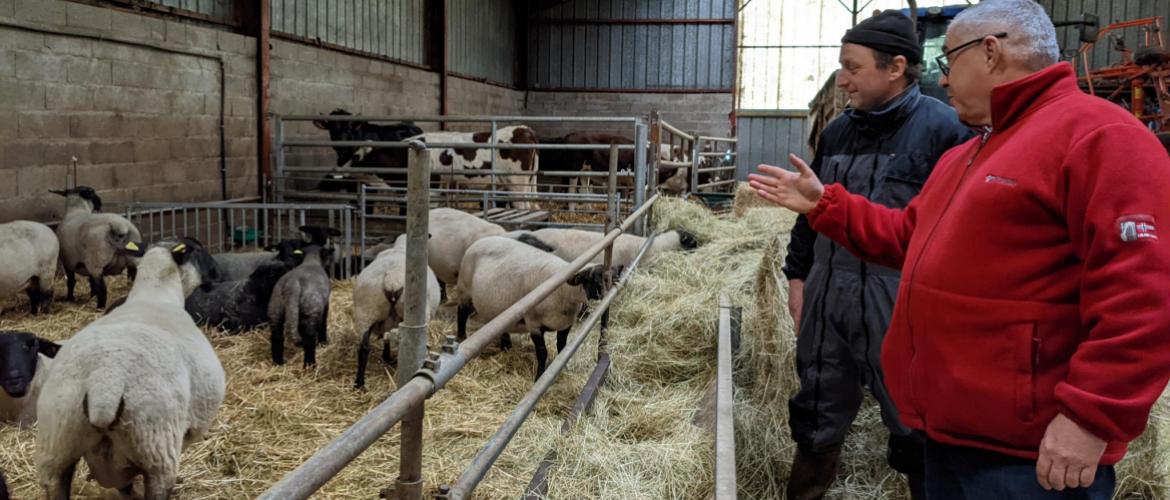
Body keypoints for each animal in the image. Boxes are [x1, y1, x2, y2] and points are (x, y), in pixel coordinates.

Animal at [36, 240, 223, 500]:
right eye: (197, 249)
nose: (218, 273)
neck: (155, 295)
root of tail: (104, 387)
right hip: (156, 447)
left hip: (57, 444)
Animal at [451, 236, 613, 381]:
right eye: (595, 279)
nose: (609, 291)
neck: (563, 291)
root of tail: (480, 240)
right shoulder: (534, 324)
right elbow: (542, 353)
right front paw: (539, 376)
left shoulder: (565, 324)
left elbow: (562, 348)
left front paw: (563, 369)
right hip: (465, 290)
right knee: (461, 313)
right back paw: (461, 337)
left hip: (501, 307)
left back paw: (506, 347)